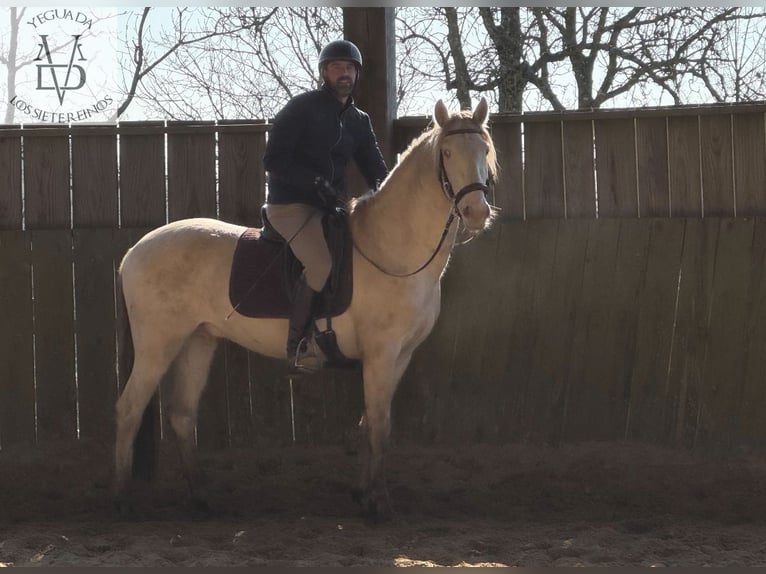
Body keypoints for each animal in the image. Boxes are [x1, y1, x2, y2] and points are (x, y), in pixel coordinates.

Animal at [112, 98, 498, 520]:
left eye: (484, 151)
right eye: (447, 153)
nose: (476, 212)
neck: (390, 248)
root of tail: (134, 251)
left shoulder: (401, 356)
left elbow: (370, 423)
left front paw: (363, 493)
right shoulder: (381, 355)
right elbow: (379, 425)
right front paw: (378, 503)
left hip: (197, 341)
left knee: (182, 415)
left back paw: (203, 497)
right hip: (157, 345)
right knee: (129, 409)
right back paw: (122, 500)